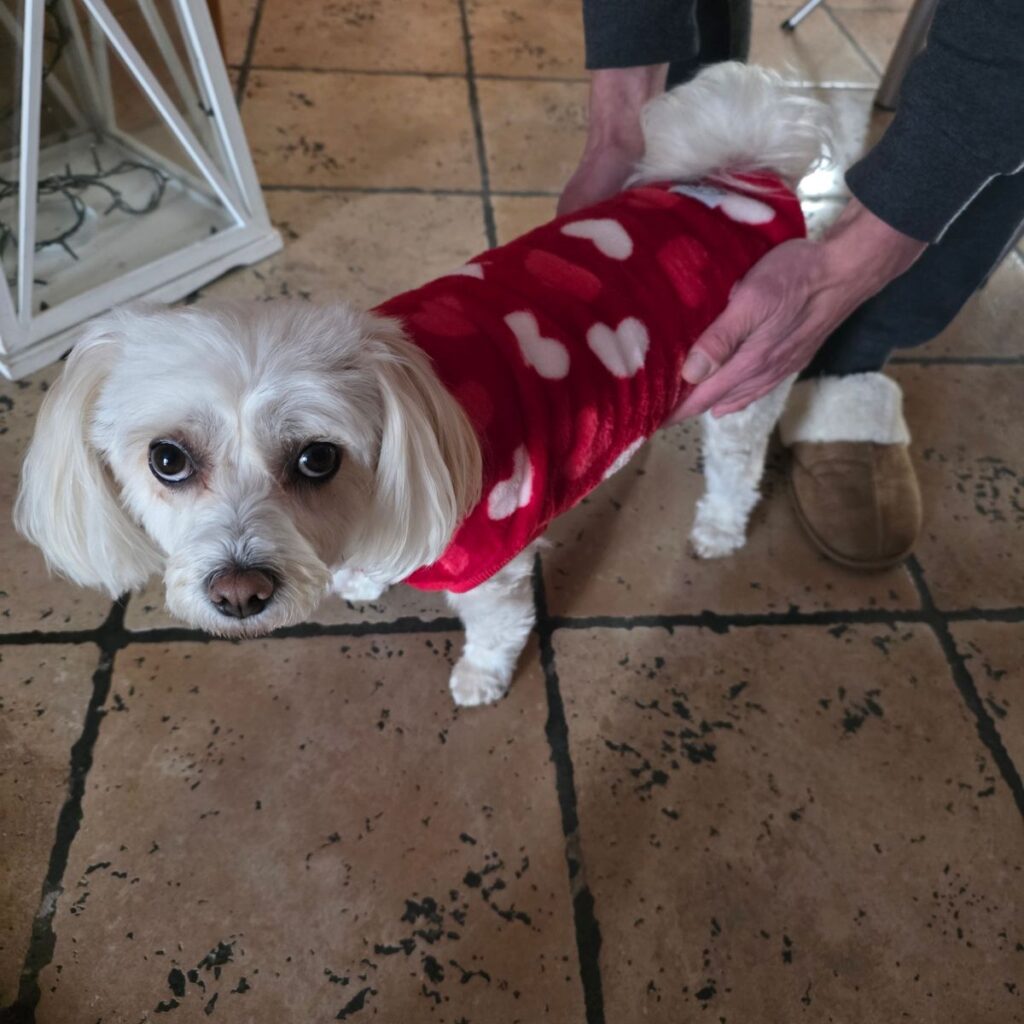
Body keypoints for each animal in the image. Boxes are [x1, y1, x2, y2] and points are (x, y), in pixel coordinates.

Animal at [15, 63, 831, 707]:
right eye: (167, 459)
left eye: (317, 458)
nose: (240, 593)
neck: (433, 412)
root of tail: (740, 174)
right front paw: (363, 579)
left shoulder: (493, 563)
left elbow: (499, 626)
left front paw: (482, 677)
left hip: (750, 381)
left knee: (738, 464)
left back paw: (720, 527)